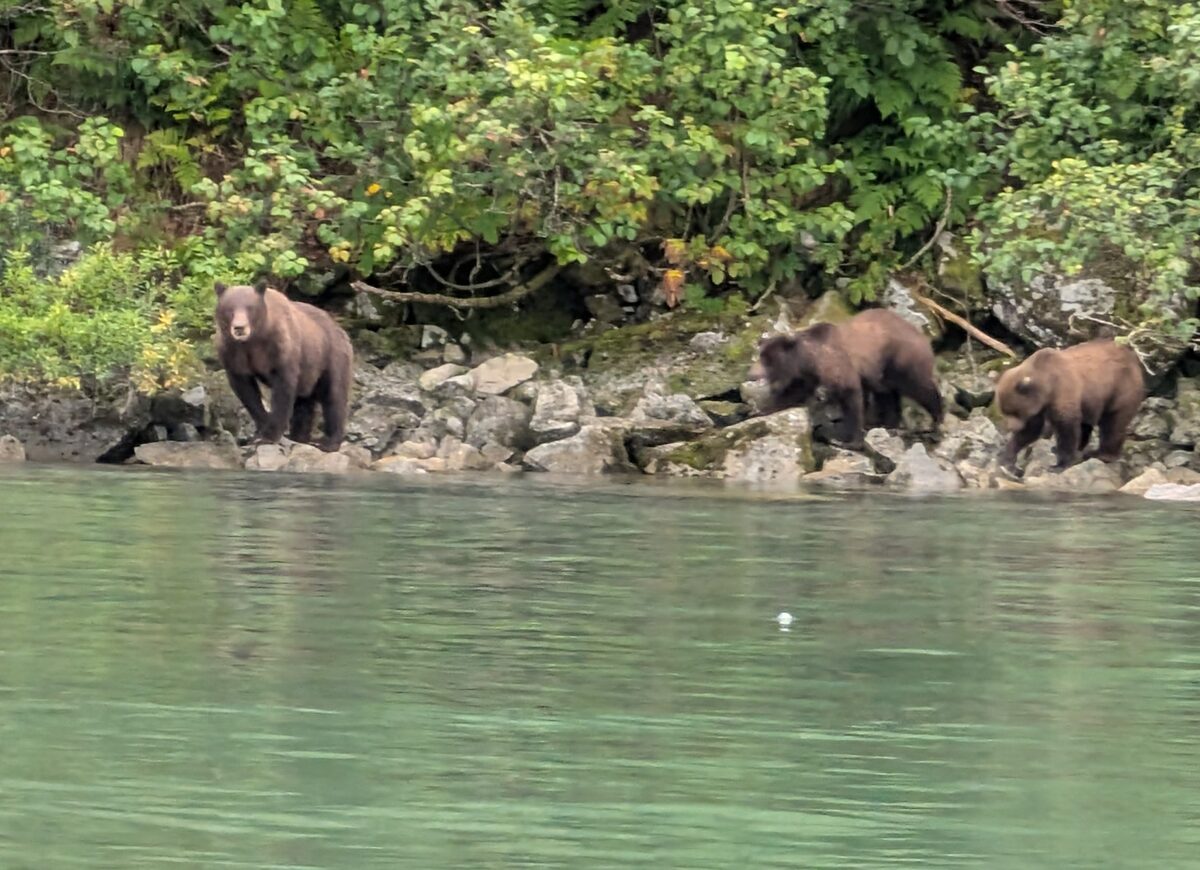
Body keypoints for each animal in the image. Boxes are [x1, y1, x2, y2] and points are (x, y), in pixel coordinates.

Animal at [214, 280, 354, 452]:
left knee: (334, 395)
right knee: (304, 404)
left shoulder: (280, 350)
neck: (253, 341)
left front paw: (269, 435)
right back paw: (299, 436)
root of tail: (340, 329)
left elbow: (283, 390)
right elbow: (246, 391)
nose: (239, 327)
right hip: (309, 372)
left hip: (330, 356)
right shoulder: (233, 354)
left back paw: (329, 442)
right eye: (229, 309)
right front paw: (261, 428)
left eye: (250, 307)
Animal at [748, 308, 943, 448]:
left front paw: (849, 439)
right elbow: (791, 393)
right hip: (882, 371)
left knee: (919, 387)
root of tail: (923, 337)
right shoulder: (807, 376)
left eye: (768, 361)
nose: (751, 374)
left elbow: (851, 396)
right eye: (761, 356)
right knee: (887, 394)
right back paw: (887, 424)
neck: (809, 360)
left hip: (901, 359)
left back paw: (935, 424)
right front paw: (759, 410)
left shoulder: (837, 366)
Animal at [994, 339, 1144, 473]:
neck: (1047, 386)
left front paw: (1058, 465)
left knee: (1113, 424)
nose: (1011, 427)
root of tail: (1133, 358)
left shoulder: (1063, 390)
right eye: (1004, 411)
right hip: (1090, 401)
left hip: (1120, 390)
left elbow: (1066, 428)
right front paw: (1007, 458)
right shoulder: (1039, 408)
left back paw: (1102, 454)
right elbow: (1030, 430)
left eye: (1015, 411)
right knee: (1086, 425)